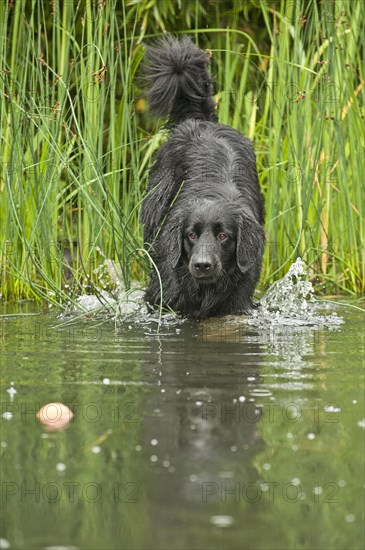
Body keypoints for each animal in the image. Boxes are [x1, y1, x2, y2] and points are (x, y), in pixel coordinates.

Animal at [141, 35, 264, 320]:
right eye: (191, 235)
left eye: (223, 236)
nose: (202, 265)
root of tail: (203, 121)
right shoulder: (163, 291)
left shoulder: (238, 298)